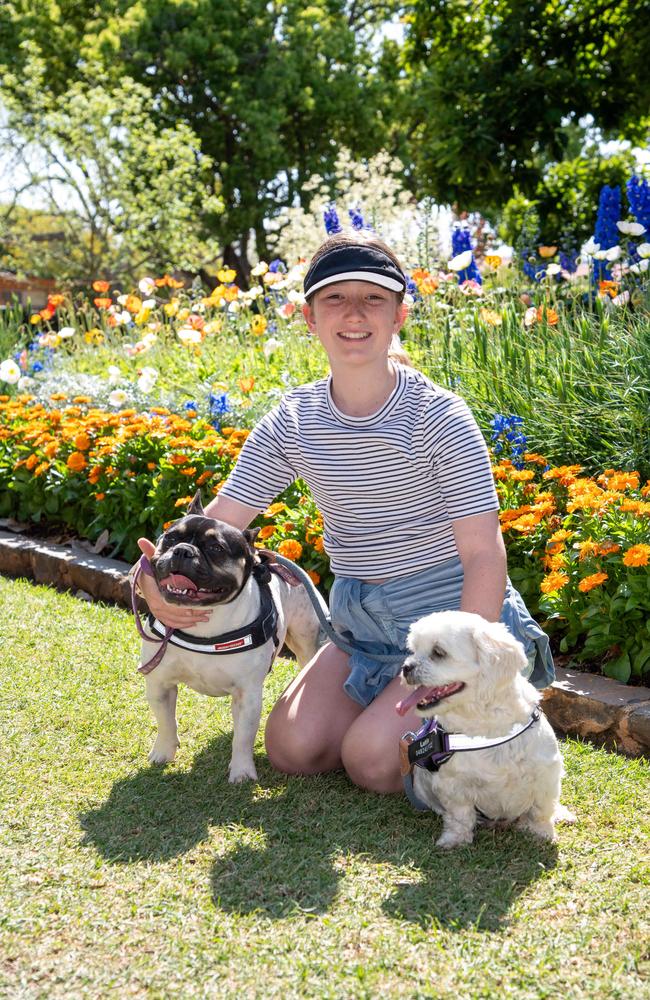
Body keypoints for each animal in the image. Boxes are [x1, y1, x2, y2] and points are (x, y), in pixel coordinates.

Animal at [394, 604, 572, 848]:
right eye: (413, 650)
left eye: (439, 652)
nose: (406, 667)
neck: (484, 728)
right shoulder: (453, 785)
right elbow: (459, 815)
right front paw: (455, 839)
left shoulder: (545, 774)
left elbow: (540, 811)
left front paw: (542, 833)